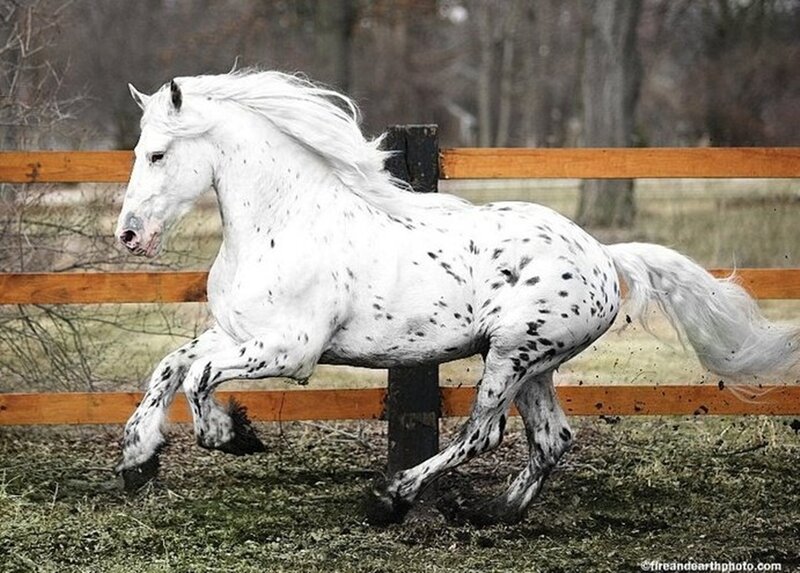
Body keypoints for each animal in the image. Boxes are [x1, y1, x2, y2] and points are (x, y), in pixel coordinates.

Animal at [115, 70, 799, 526]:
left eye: (157, 153)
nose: (128, 235)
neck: (286, 221)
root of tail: (605, 257)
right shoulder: (239, 333)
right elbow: (171, 366)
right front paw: (138, 459)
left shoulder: (290, 350)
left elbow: (199, 377)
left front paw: (230, 435)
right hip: (537, 365)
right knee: (551, 439)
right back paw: (497, 514)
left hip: (512, 356)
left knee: (483, 435)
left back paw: (392, 497)